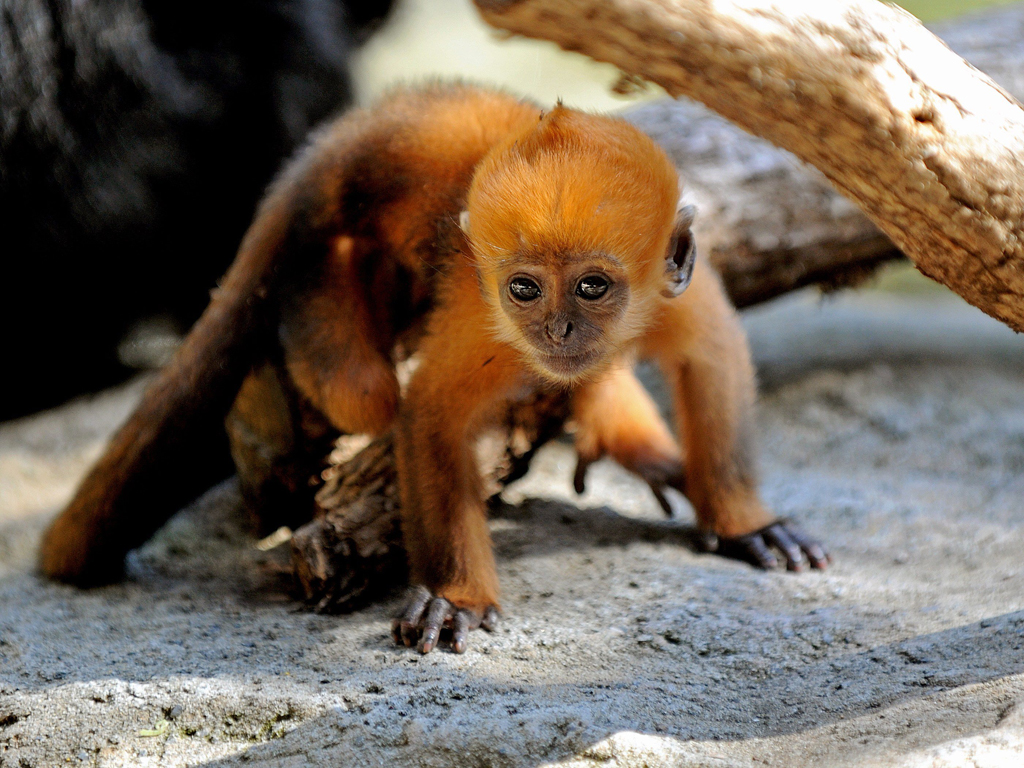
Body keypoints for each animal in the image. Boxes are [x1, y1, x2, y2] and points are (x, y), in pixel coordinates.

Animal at [39, 87, 827, 659]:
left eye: (592, 287)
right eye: (524, 289)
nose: (558, 331)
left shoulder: (677, 290)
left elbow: (713, 353)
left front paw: (744, 521)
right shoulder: (482, 318)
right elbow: (432, 414)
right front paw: (457, 594)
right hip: (321, 257)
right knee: (363, 390)